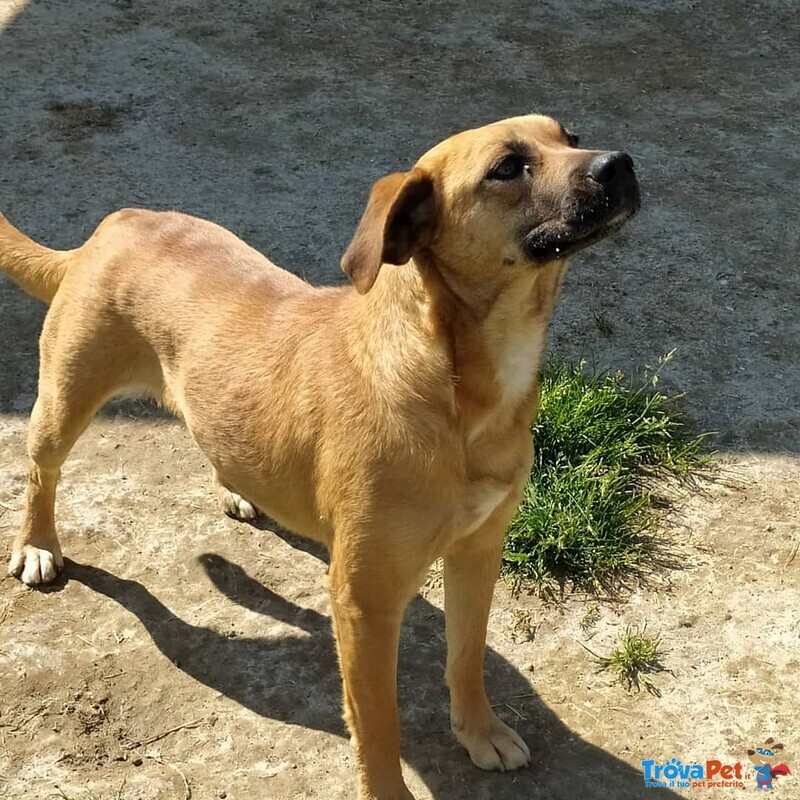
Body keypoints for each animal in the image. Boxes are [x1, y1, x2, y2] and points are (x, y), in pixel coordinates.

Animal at [0, 114, 636, 800]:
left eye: (569, 137)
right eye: (507, 167)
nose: (621, 163)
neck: (459, 386)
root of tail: (117, 223)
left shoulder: (478, 552)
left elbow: (466, 658)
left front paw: (479, 731)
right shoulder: (364, 601)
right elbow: (378, 724)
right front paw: (389, 788)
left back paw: (236, 486)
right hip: (64, 402)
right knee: (40, 471)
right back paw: (37, 544)